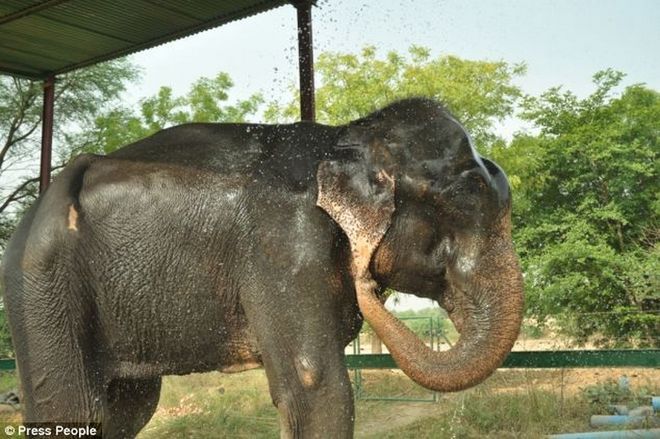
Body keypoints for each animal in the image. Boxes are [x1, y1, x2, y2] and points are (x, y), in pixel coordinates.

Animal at [1, 99, 524, 439]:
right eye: (465, 202)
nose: (369, 281)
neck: (343, 138)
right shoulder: (284, 246)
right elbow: (316, 388)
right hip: (41, 284)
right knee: (71, 407)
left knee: (130, 406)